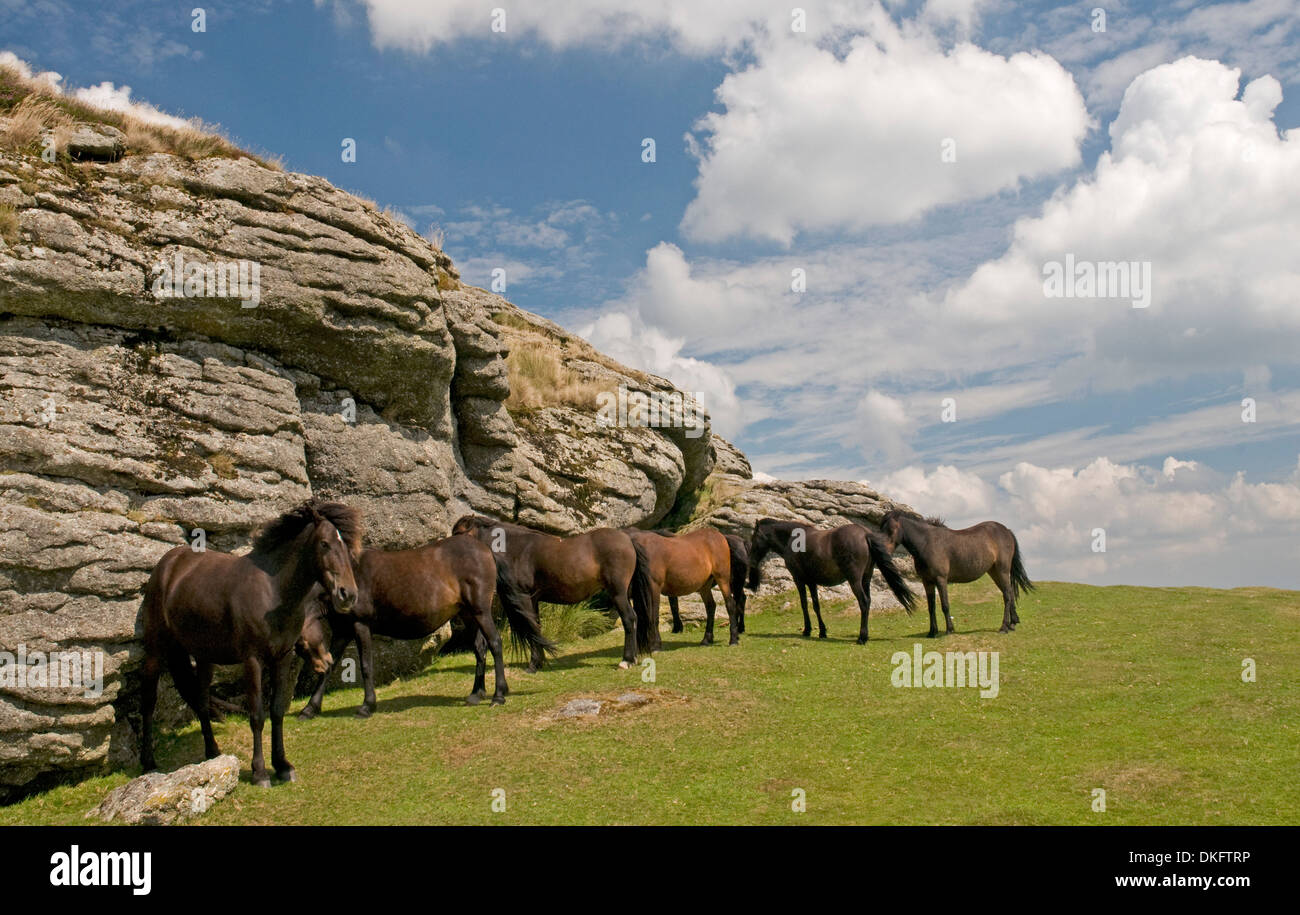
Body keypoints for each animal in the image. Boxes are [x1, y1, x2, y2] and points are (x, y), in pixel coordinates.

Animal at [137, 500, 361, 786]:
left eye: (345, 545)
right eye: (324, 543)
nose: (348, 594)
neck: (272, 591)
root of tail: (167, 565)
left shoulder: (282, 657)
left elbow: (276, 711)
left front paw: (283, 766)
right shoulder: (253, 660)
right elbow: (256, 715)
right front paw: (260, 772)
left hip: (204, 656)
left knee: (201, 700)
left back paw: (213, 752)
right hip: (156, 651)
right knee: (148, 702)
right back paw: (148, 762)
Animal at [296, 533, 551, 717]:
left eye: (300, 646)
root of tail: (486, 549)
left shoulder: (360, 626)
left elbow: (366, 666)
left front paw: (367, 705)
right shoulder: (342, 631)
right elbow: (330, 667)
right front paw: (310, 708)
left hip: (481, 612)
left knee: (495, 644)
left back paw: (499, 694)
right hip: (469, 615)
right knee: (480, 649)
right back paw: (476, 693)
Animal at [451, 515, 653, 669]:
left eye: (457, 534)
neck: (518, 550)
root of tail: (627, 538)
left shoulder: (524, 597)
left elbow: (532, 628)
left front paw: (533, 664)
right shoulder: (533, 600)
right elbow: (537, 626)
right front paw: (539, 662)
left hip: (618, 593)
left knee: (629, 619)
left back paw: (627, 660)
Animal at [746, 518, 916, 643]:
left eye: (754, 538)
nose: (751, 561)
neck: (792, 540)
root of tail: (865, 534)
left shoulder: (799, 580)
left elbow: (804, 605)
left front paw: (807, 630)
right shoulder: (812, 582)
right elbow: (816, 606)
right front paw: (822, 631)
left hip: (855, 581)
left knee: (864, 602)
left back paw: (861, 638)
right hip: (865, 580)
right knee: (868, 602)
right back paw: (865, 636)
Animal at [878, 511, 1033, 637]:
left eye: (890, 529)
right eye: (880, 529)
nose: (882, 551)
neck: (927, 543)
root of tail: (1006, 530)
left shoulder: (941, 579)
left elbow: (945, 605)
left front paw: (949, 630)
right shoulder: (927, 581)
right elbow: (931, 607)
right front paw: (932, 632)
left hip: (1002, 570)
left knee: (1007, 595)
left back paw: (1004, 627)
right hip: (994, 572)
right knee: (1009, 593)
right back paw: (1012, 623)